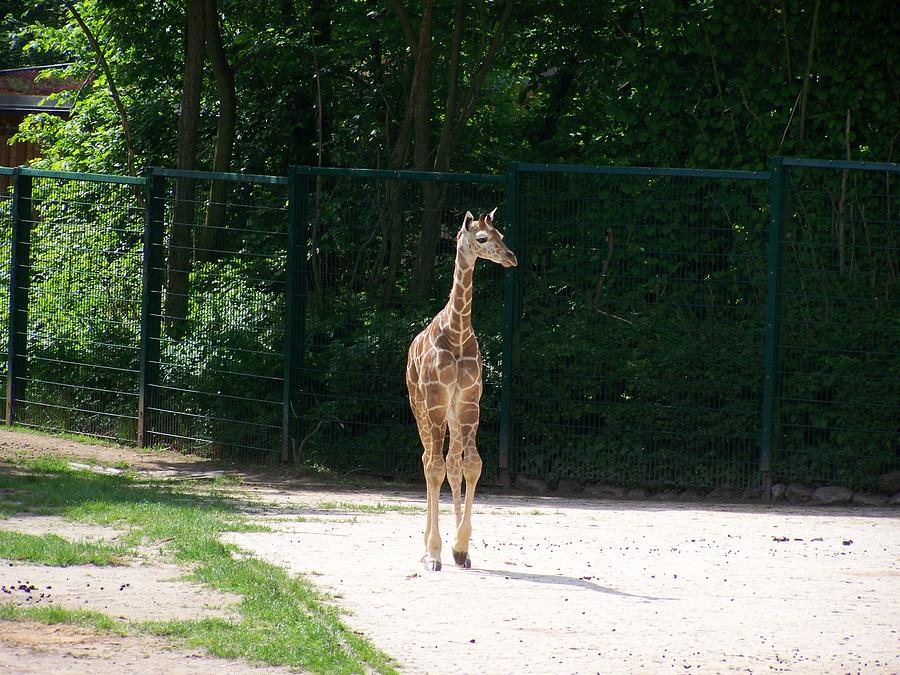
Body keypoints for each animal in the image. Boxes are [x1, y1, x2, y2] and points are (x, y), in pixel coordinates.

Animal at [404, 209, 516, 572]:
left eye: (500, 234)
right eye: (481, 238)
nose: (511, 257)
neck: (457, 332)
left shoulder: (469, 403)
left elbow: (471, 465)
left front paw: (461, 548)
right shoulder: (436, 402)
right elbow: (434, 467)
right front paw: (434, 552)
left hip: (451, 414)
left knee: (452, 463)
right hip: (420, 408)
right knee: (428, 459)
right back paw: (426, 549)